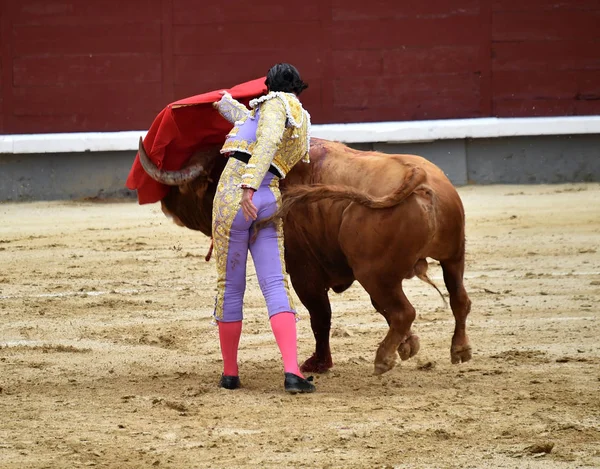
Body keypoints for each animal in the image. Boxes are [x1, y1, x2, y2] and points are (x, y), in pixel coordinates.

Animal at [138, 135, 472, 372]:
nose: (166, 203)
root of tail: (419, 177)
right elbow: (379, 310)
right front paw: (408, 346)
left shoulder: (303, 271)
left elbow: (320, 316)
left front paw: (319, 363)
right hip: (452, 258)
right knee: (458, 300)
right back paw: (459, 350)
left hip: (374, 273)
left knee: (404, 311)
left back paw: (382, 359)